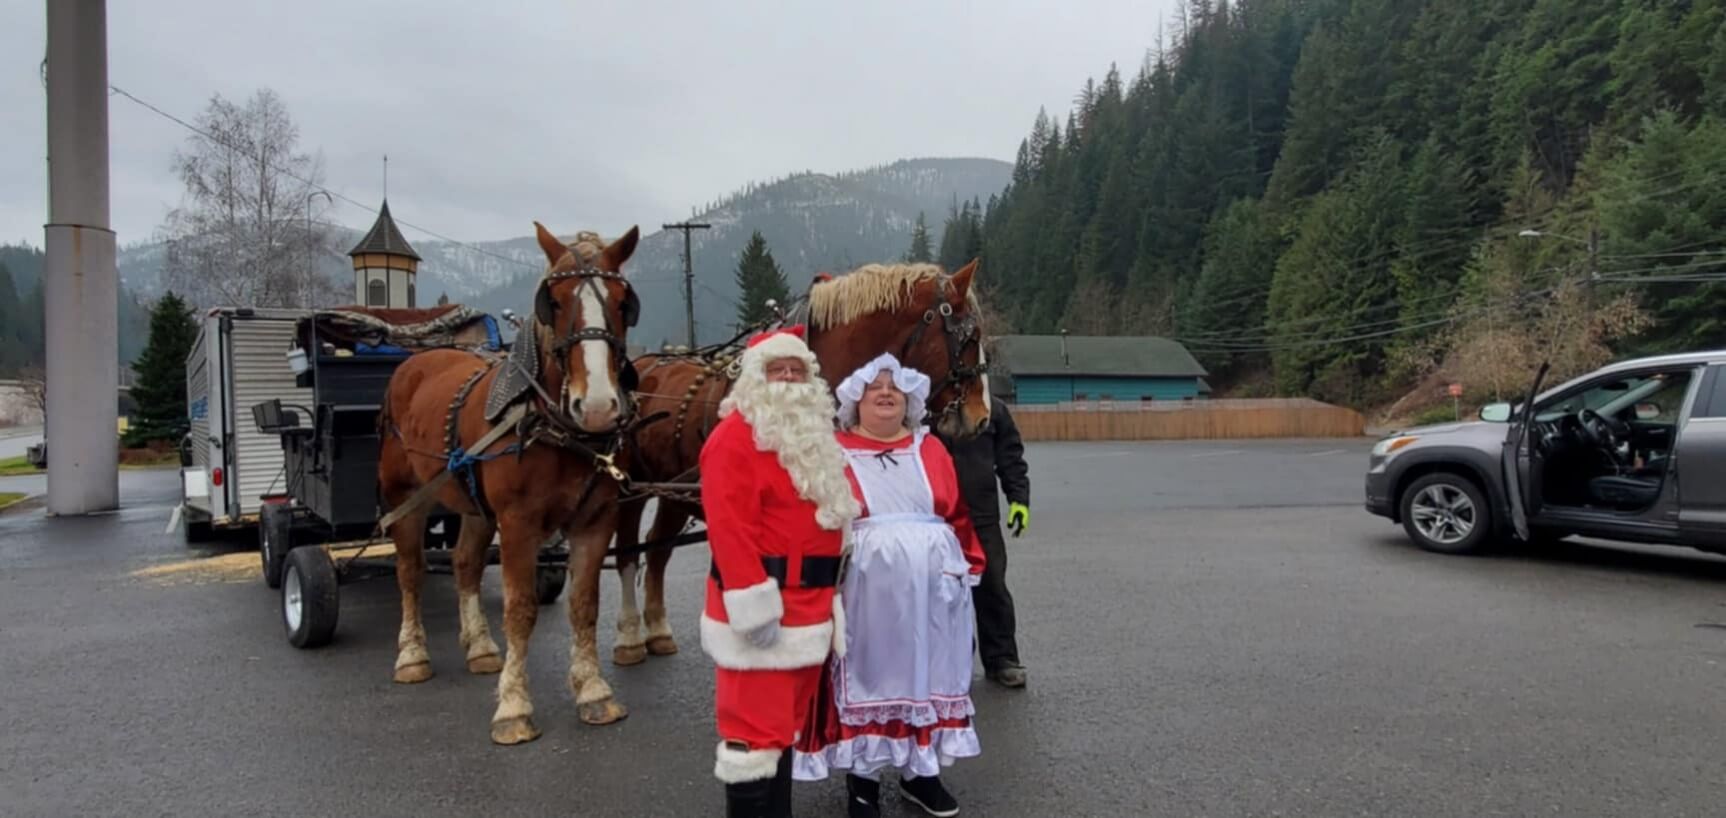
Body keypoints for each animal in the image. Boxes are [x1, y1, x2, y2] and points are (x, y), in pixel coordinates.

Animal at [376, 220, 642, 745]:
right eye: (553, 301)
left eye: (624, 302)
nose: (598, 408)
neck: (555, 425)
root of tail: (415, 362)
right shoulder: (518, 523)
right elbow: (520, 610)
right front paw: (514, 707)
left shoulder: (595, 519)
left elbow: (584, 604)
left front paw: (593, 691)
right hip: (405, 497)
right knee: (410, 571)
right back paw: (412, 654)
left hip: (474, 507)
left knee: (464, 564)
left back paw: (479, 647)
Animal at [607, 260, 994, 666]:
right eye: (971, 338)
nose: (982, 417)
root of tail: (645, 364)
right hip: (630, 488)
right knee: (628, 552)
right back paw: (630, 636)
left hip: (672, 491)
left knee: (658, 548)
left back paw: (658, 630)